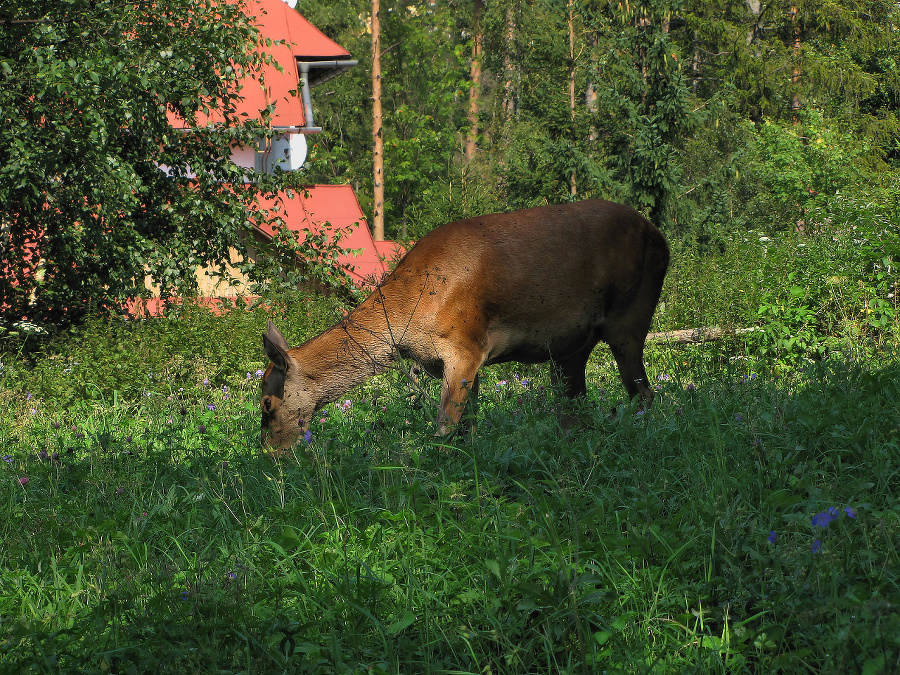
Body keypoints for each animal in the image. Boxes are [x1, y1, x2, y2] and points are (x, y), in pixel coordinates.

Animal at [260, 201, 668, 454]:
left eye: (266, 402)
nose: (269, 454)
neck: (409, 318)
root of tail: (662, 240)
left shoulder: (464, 345)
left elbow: (444, 428)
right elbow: (467, 429)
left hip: (631, 317)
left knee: (644, 394)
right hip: (569, 349)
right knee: (575, 407)